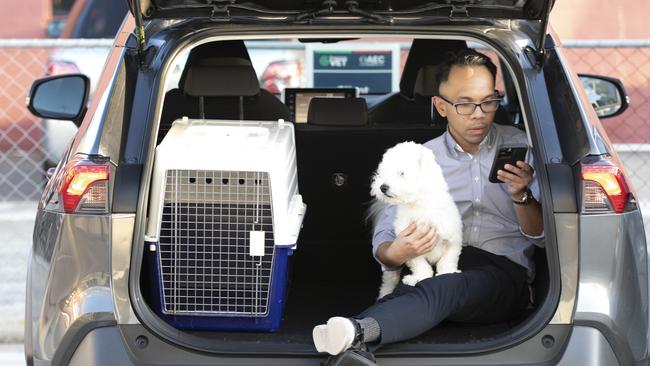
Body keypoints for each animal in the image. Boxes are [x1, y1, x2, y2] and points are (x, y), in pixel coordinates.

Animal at [370, 142, 460, 298]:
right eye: (383, 172)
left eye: (401, 173)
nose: (383, 187)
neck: (419, 203)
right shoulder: (408, 245)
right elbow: (419, 263)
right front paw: (419, 277)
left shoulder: (452, 239)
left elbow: (448, 260)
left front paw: (447, 272)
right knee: (389, 282)